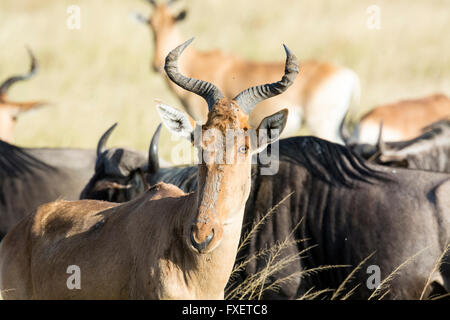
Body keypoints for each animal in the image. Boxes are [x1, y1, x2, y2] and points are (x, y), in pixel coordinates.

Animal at [133, 0, 358, 142]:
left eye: (172, 21)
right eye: (151, 23)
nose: (155, 65)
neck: (200, 61)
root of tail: (349, 76)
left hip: (322, 126)